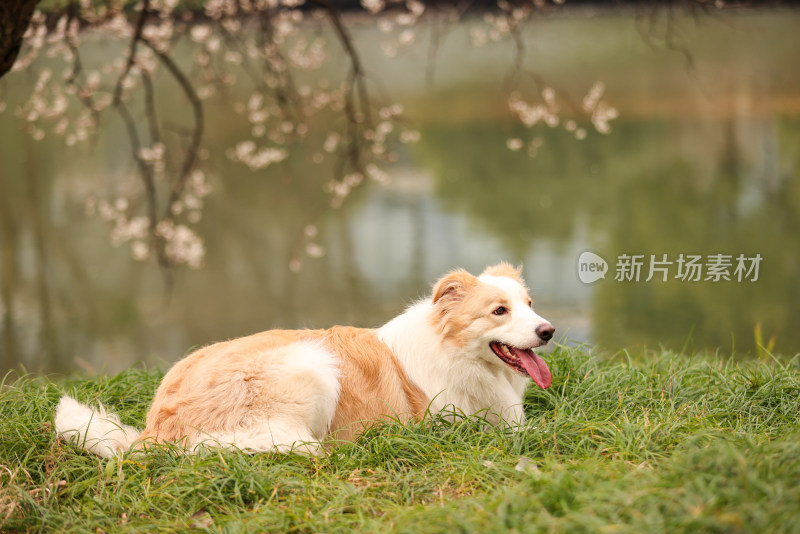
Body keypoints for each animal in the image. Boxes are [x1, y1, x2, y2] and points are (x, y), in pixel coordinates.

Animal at [56, 262, 552, 458]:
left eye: (530, 304)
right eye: (499, 311)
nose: (548, 331)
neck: (458, 354)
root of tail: (156, 431)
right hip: (311, 364)